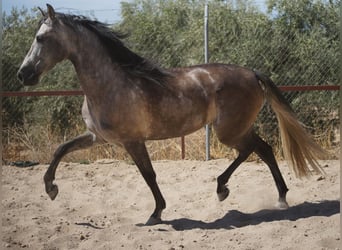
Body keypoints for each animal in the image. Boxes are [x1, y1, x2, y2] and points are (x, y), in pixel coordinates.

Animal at [16, 3, 326, 226]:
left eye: (40, 38)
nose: (23, 74)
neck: (111, 84)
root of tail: (252, 73)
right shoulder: (97, 137)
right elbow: (61, 149)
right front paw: (51, 189)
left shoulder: (132, 141)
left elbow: (149, 175)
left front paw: (156, 213)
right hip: (237, 129)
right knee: (264, 149)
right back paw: (280, 197)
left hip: (229, 132)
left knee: (252, 149)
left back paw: (223, 189)